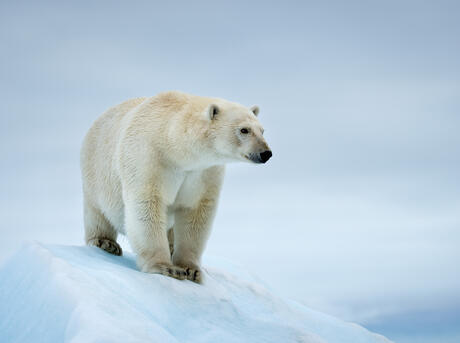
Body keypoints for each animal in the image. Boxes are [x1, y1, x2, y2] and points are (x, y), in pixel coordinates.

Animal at [81, 91, 272, 282]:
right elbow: (147, 204)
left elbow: (195, 213)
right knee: (96, 212)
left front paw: (191, 270)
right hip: (96, 171)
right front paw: (165, 267)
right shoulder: (148, 157)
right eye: (244, 130)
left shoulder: (203, 172)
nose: (266, 153)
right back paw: (105, 242)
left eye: (262, 130)